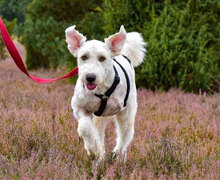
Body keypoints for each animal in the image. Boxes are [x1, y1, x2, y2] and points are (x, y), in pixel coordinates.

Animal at [65, 25, 146, 163]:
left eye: (102, 58)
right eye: (84, 57)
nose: (90, 77)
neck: (100, 90)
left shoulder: (123, 111)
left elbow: (123, 135)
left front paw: (107, 154)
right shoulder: (80, 108)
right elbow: (85, 128)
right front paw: (94, 151)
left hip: (127, 112)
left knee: (124, 135)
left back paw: (118, 156)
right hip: (100, 117)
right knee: (99, 132)